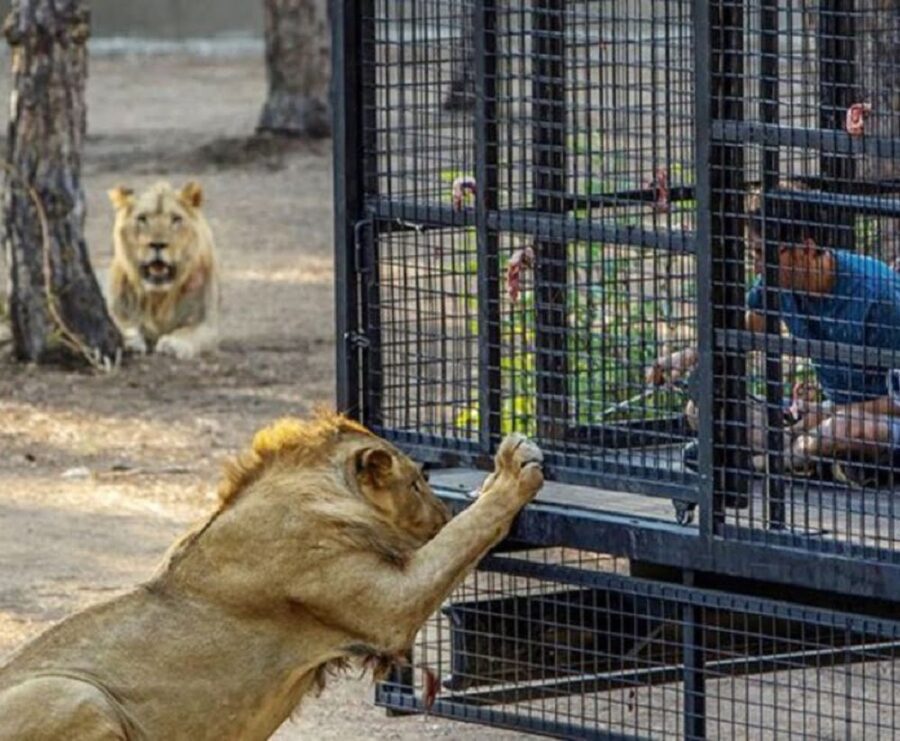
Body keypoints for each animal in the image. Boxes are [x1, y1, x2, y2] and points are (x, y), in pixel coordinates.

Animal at [0, 414, 540, 736]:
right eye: (415, 483)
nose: (441, 513)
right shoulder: (387, 605)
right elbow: (465, 536)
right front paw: (512, 470)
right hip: (76, 693)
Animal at [107, 182, 220, 362]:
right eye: (142, 218)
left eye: (176, 219)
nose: (158, 244)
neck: (158, 298)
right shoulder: (117, 311)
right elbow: (122, 324)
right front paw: (131, 341)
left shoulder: (207, 322)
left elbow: (188, 332)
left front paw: (172, 344)